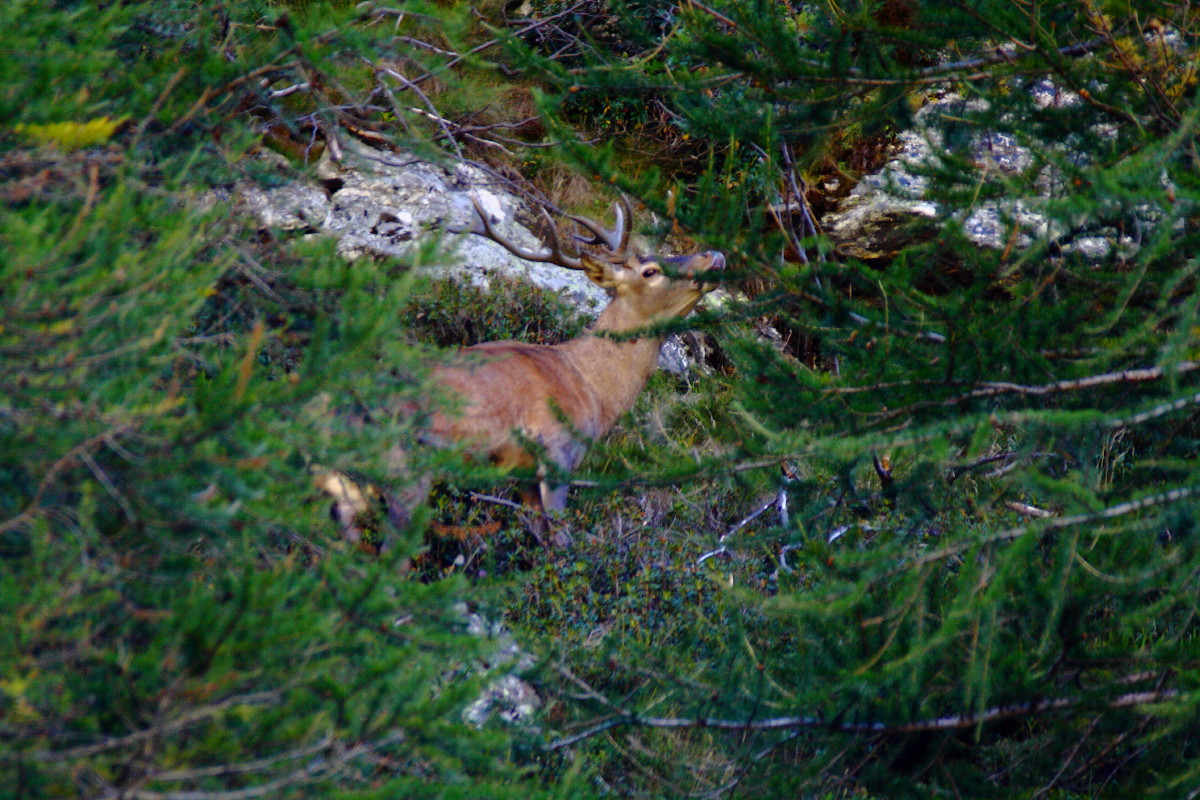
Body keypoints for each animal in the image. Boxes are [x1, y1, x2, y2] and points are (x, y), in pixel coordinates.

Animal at [319, 194, 725, 547]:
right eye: (650, 271)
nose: (715, 254)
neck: (593, 388)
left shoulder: (523, 474)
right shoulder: (558, 451)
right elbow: (561, 541)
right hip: (404, 468)